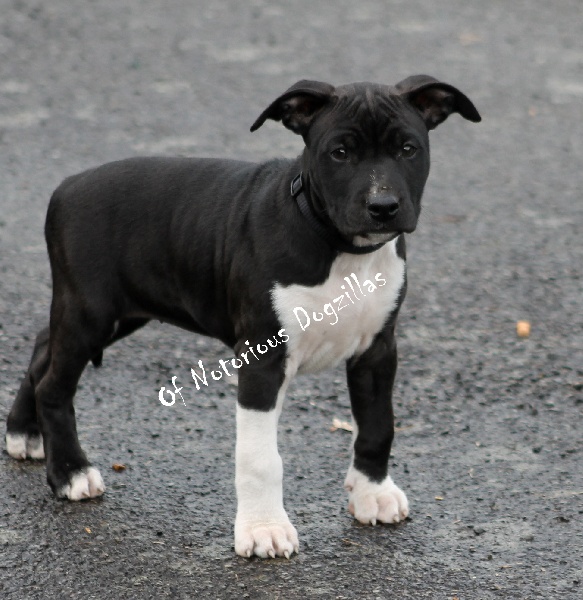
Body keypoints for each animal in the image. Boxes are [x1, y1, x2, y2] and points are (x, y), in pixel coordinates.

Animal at [6, 75, 482, 556]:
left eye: (408, 149)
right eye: (339, 153)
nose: (382, 206)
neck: (341, 248)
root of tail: (66, 186)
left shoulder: (377, 350)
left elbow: (377, 424)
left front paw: (374, 492)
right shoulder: (262, 359)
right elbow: (260, 458)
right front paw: (263, 528)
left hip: (116, 310)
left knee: (43, 347)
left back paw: (24, 434)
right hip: (91, 311)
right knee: (54, 384)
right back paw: (70, 472)